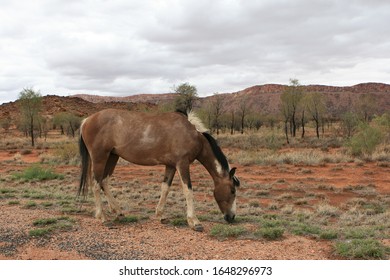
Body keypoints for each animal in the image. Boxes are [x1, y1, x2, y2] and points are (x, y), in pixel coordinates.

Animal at [77, 108, 239, 231]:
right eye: (232, 191)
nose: (231, 217)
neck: (192, 134)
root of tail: (87, 120)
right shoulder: (182, 164)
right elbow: (188, 190)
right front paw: (194, 221)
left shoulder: (171, 165)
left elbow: (165, 188)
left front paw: (160, 215)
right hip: (100, 158)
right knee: (96, 184)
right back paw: (103, 218)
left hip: (112, 157)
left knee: (104, 182)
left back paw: (118, 212)